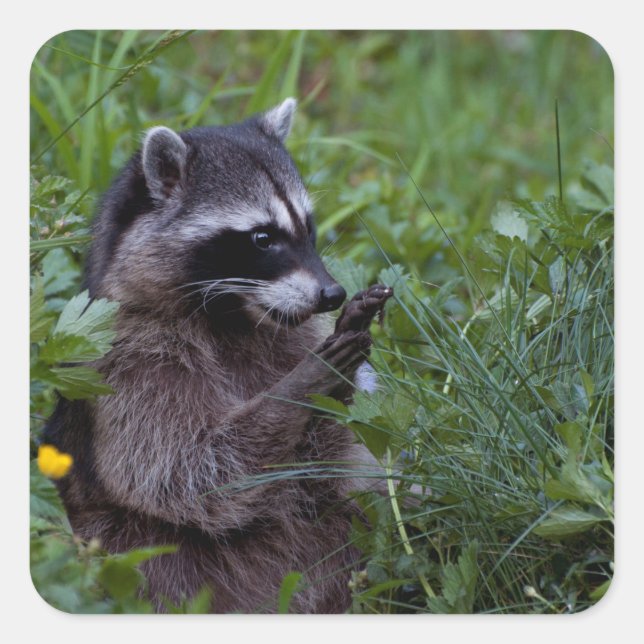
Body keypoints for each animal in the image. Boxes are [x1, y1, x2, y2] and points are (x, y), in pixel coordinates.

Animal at [44, 98, 394, 613]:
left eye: (308, 228)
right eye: (262, 238)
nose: (332, 294)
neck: (236, 315)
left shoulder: (293, 333)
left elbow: (339, 455)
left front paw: (338, 381)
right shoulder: (128, 359)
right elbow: (190, 470)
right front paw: (305, 382)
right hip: (121, 545)